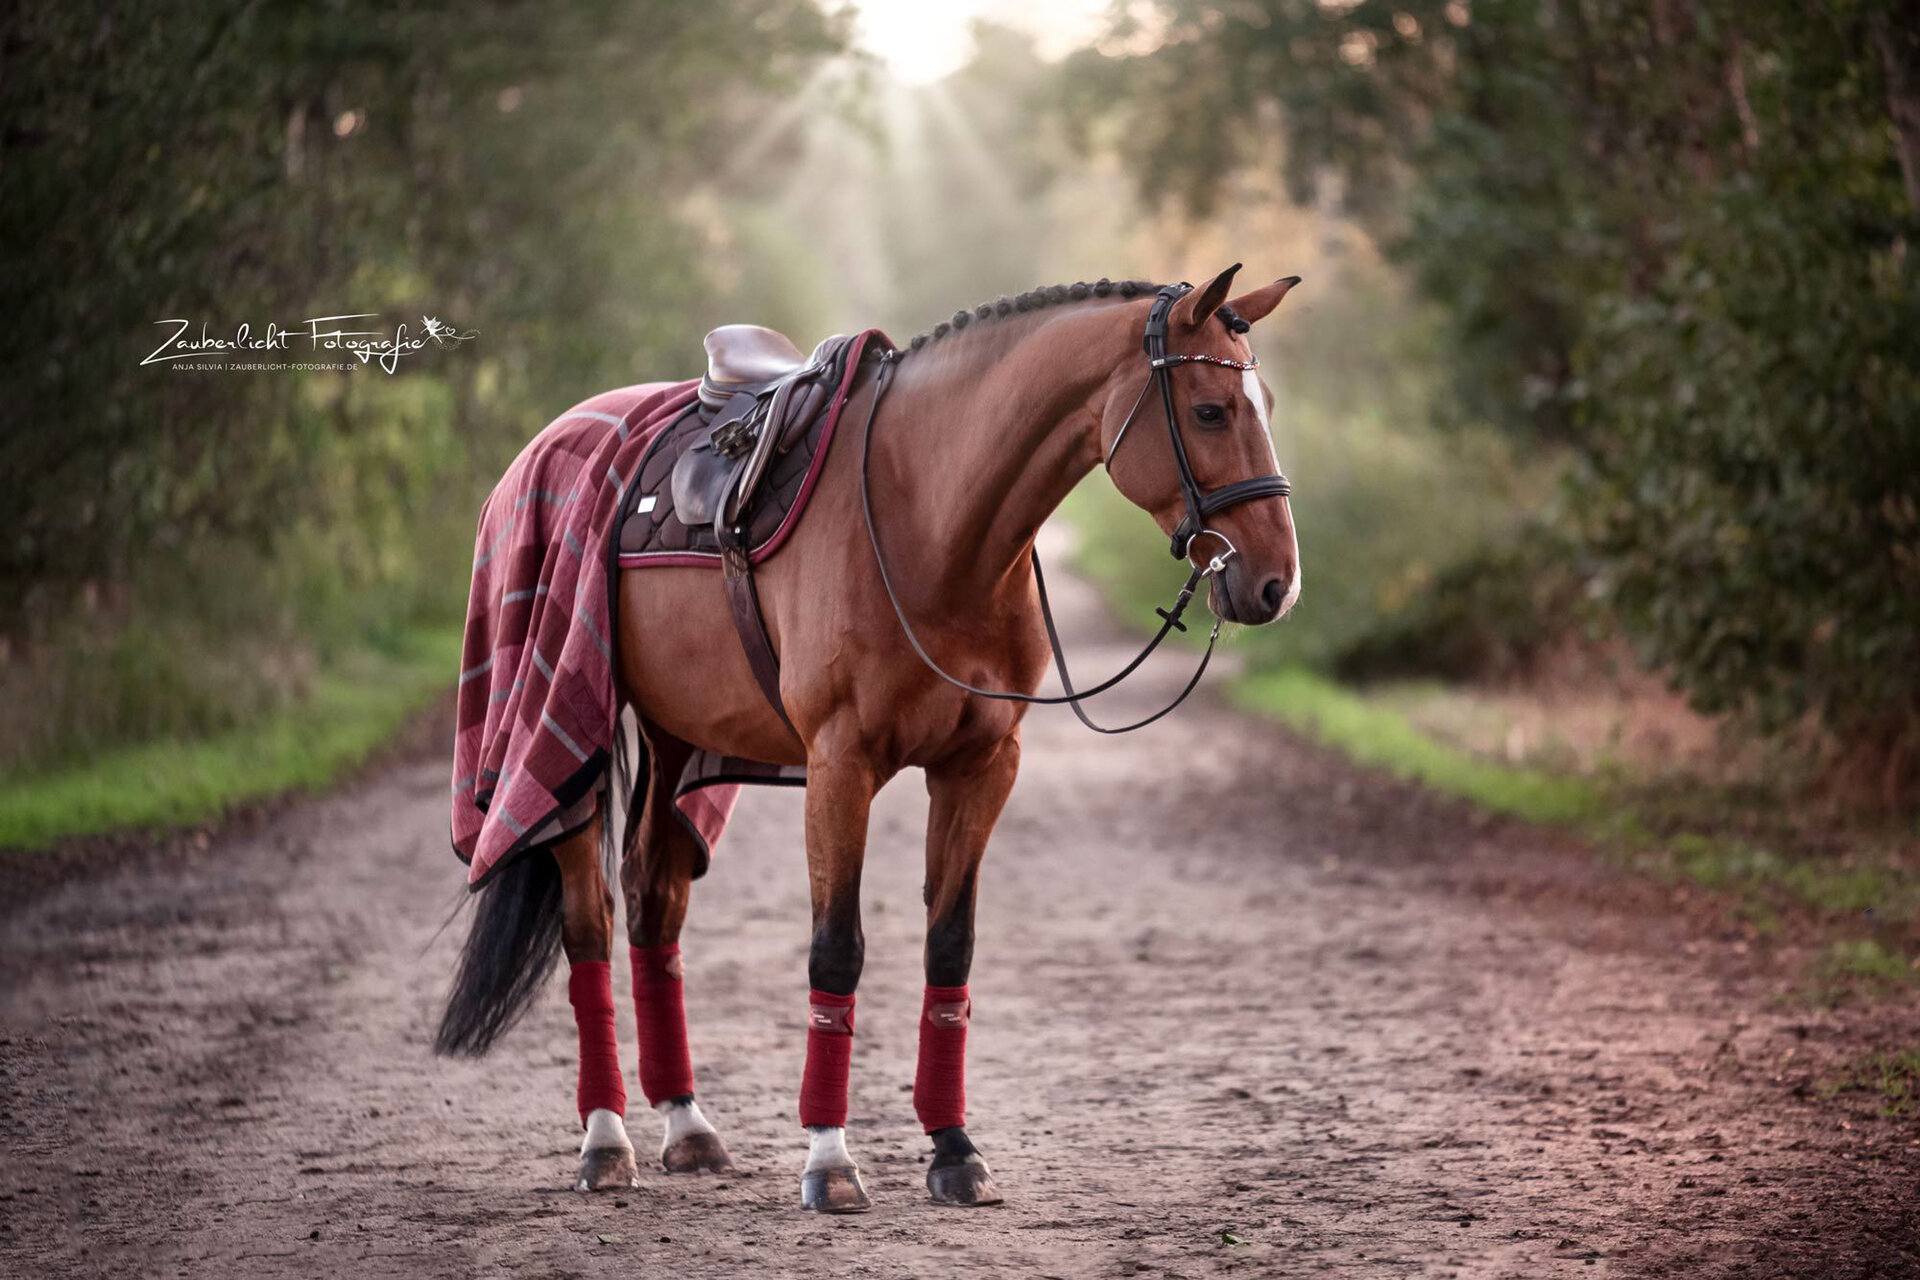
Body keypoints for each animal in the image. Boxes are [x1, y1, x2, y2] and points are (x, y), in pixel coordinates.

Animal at [434, 265, 1302, 1213]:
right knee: (589, 923)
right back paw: (605, 1138)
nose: (1276, 584)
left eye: (1264, 402)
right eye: (1211, 410)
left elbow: (950, 948)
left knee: (654, 899)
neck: (930, 521)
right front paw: (829, 1159)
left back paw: (689, 1126)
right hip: (573, 735)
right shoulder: (839, 765)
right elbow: (836, 951)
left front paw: (954, 1150)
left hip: (673, 735)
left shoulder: (980, 767)